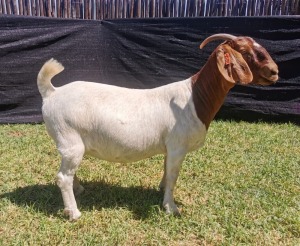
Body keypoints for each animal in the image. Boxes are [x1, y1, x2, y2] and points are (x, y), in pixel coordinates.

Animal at [37, 33, 278, 220]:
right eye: (245, 52)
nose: (274, 71)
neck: (194, 98)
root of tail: (52, 92)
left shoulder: (170, 148)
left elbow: (166, 170)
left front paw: (161, 191)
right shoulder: (178, 147)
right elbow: (173, 176)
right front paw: (171, 208)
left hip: (70, 145)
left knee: (68, 172)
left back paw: (79, 189)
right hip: (69, 138)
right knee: (63, 177)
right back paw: (74, 213)